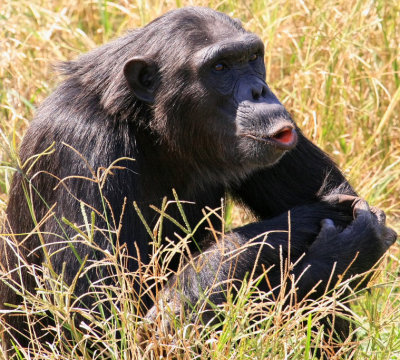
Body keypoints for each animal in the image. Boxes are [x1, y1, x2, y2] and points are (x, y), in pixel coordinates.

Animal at [2, 5, 396, 352]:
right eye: (220, 67)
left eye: (252, 58)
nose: (259, 91)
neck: (149, 125)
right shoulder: (81, 145)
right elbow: (98, 319)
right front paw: (321, 244)